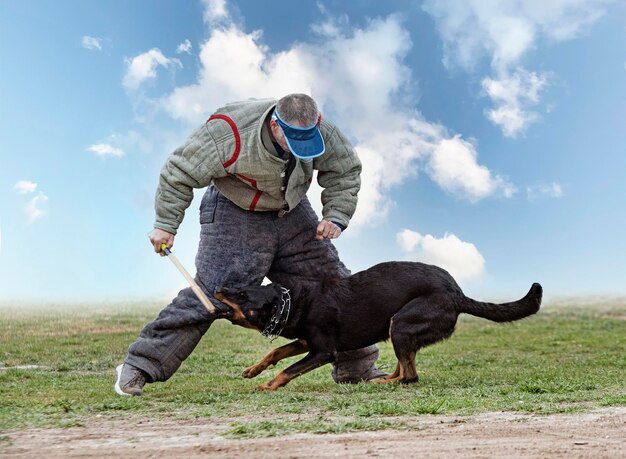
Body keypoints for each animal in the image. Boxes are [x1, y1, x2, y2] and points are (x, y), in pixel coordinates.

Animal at [212, 264, 540, 390]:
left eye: (242, 295)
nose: (218, 288)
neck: (292, 303)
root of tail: (458, 295)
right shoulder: (305, 343)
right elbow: (276, 353)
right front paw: (252, 370)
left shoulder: (322, 352)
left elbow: (287, 370)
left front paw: (267, 385)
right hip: (399, 329)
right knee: (404, 367)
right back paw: (382, 379)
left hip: (402, 323)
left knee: (410, 376)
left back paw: (382, 383)